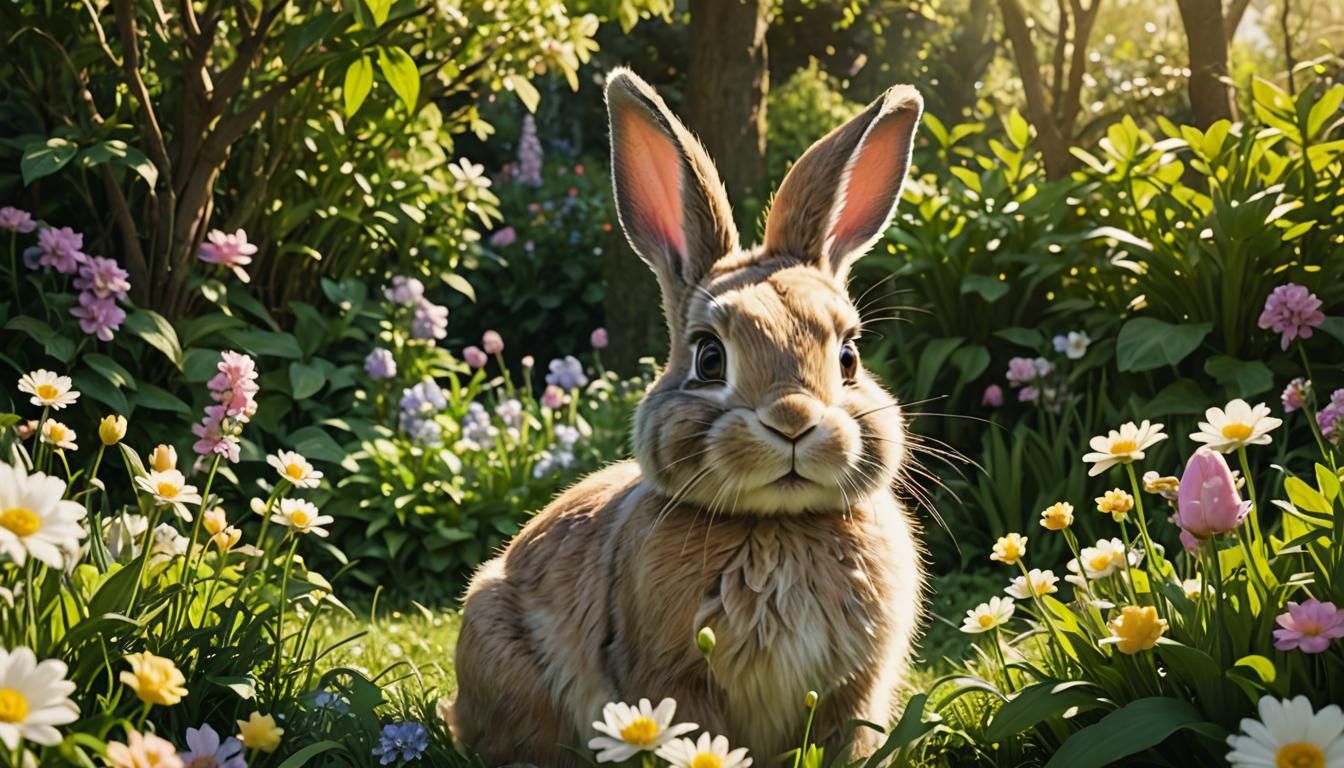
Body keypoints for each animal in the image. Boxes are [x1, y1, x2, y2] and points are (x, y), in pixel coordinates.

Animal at [452, 67, 927, 766]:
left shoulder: (855, 692)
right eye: (709, 358)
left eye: (848, 356)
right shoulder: (674, 680)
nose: (793, 420)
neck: (777, 525)